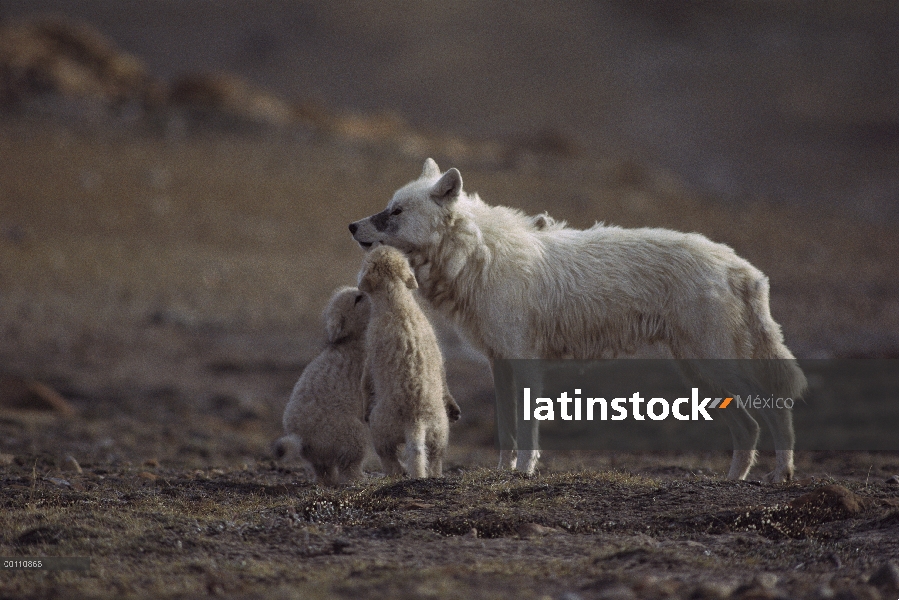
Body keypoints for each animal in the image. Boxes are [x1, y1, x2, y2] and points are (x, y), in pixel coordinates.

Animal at [348, 157, 804, 480]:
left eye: (396, 211)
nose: (352, 225)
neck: (478, 257)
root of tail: (739, 265)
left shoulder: (526, 365)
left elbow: (527, 431)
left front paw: (524, 474)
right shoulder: (500, 364)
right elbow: (506, 430)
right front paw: (502, 473)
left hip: (712, 367)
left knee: (773, 408)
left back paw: (781, 475)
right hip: (698, 373)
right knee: (748, 428)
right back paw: (734, 481)